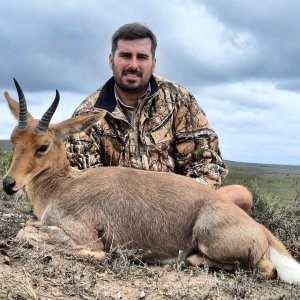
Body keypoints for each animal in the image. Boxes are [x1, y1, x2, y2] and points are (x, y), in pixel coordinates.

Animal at [2, 79, 300, 284]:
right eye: (14, 140)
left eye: (43, 146)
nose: (8, 183)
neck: (64, 184)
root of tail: (264, 233)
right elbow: (29, 227)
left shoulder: (84, 236)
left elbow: (28, 234)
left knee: (266, 269)